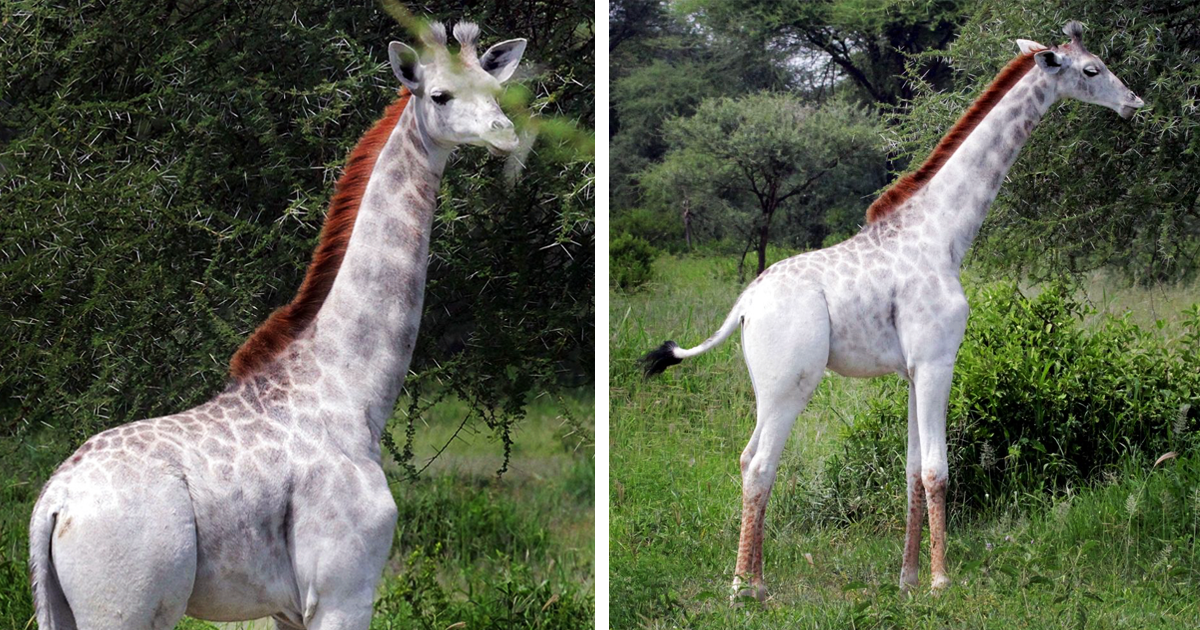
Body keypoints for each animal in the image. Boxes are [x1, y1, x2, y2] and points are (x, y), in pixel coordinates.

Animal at [29, 22, 527, 630]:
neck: (350, 393)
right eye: (440, 96)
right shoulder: (342, 589)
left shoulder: (290, 606)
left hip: (65, 607)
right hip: (127, 608)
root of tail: (53, 504)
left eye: (496, 91)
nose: (505, 136)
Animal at [642, 21, 1144, 600]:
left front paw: (906, 580)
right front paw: (941, 582)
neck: (945, 234)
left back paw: (758, 583)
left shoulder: (910, 371)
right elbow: (937, 470)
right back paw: (742, 590)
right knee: (762, 464)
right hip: (790, 382)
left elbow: (909, 470)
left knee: (750, 459)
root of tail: (745, 303)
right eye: (1092, 69)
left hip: (766, 386)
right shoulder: (936, 361)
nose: (1134, 103)